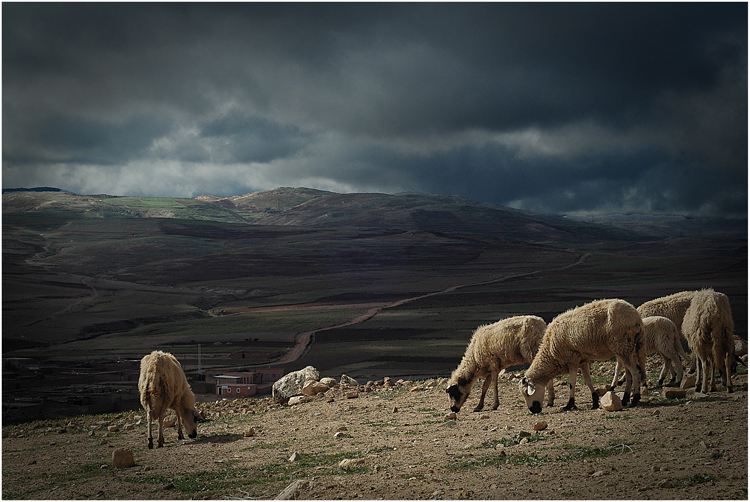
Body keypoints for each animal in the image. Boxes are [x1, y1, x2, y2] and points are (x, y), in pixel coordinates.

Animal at [520, 300, 648, 414]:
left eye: (526, 392)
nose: (533, 410)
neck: (550, 353)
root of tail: (636, 316)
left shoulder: (572, 359)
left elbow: (572, 382)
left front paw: (570, 404)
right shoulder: (583, 360)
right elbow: (587, 380)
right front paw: (595, 401)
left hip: (622, 345)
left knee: (635, 371)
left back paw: (634, 399)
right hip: (627, 348)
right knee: (629, 372)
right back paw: (625, 399)